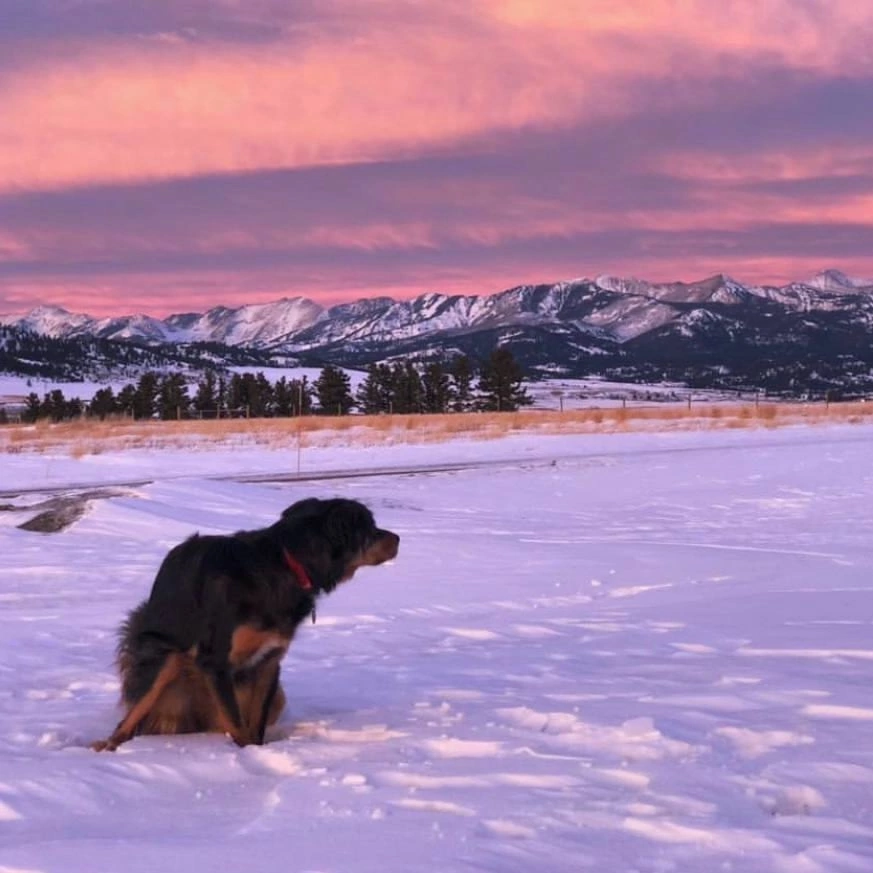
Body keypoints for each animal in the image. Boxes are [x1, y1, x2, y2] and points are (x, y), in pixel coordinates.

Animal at [92, 498, 398, 748]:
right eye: (370, 527)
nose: (398, 537)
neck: (285, 564)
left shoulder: (270, 661)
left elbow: (255, 725)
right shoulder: (215, 662)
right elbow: (237, 725)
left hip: (276, 696)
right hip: (163, 659)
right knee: (128, 719)